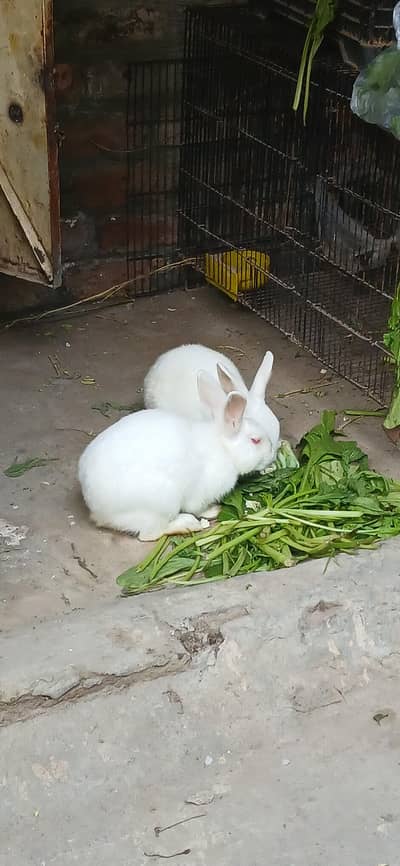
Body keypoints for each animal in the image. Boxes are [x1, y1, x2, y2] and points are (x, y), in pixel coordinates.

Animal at [78, 370, 276, 541]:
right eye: (255, 440)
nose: (271, 455)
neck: (223, 448)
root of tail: (96, 507)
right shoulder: (200, 494)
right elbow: (199, 507)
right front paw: (213, 511)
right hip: (161, 505)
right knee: (149, 534)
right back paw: (188, 524)